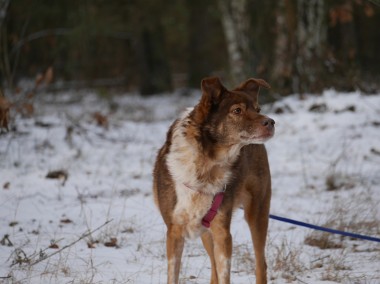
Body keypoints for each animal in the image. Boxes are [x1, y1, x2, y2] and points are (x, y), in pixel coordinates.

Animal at [153, 77, 274, 284]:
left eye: (258, 109)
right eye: (237, 110)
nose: (271, 122)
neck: (206, 164)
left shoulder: (222, 232)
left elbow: (225, 273)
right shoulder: (174, 231)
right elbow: (174, 275)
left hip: (257, 213)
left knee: (261, 265)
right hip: (205, 230)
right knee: (214, 270)